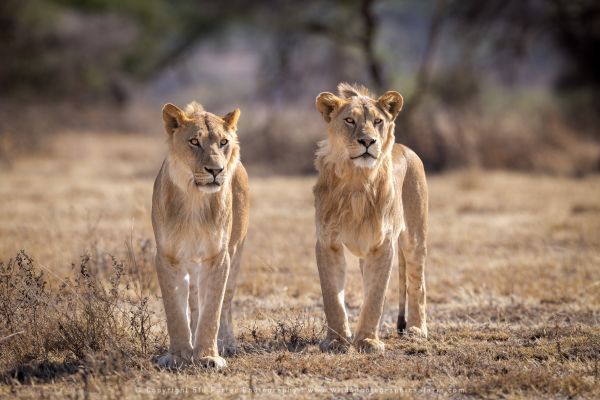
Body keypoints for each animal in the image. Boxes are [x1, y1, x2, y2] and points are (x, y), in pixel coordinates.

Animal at [155, 101, 251, 368]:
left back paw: (227, 344)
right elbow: (175, 311)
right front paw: (178, 355)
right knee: (194, 301)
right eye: (194, 141)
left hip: (236, 251)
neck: (194, 200)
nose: (216, 170)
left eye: (223, 142)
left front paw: (208, 356)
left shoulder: (218, 257)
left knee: (226, 303)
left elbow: (213, 310)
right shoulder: (167, 258)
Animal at [314, 83, 426, 352]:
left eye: (377, 121)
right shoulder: (327, 242)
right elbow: (333, 297)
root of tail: (405, 148)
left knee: (417, 281)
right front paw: (337, 341)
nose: (368, 141)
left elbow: (375, 296)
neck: (357, 180)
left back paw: (418, 329)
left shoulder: (383, 244)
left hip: (415, 237)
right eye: (349, 120)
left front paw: (366, 340)